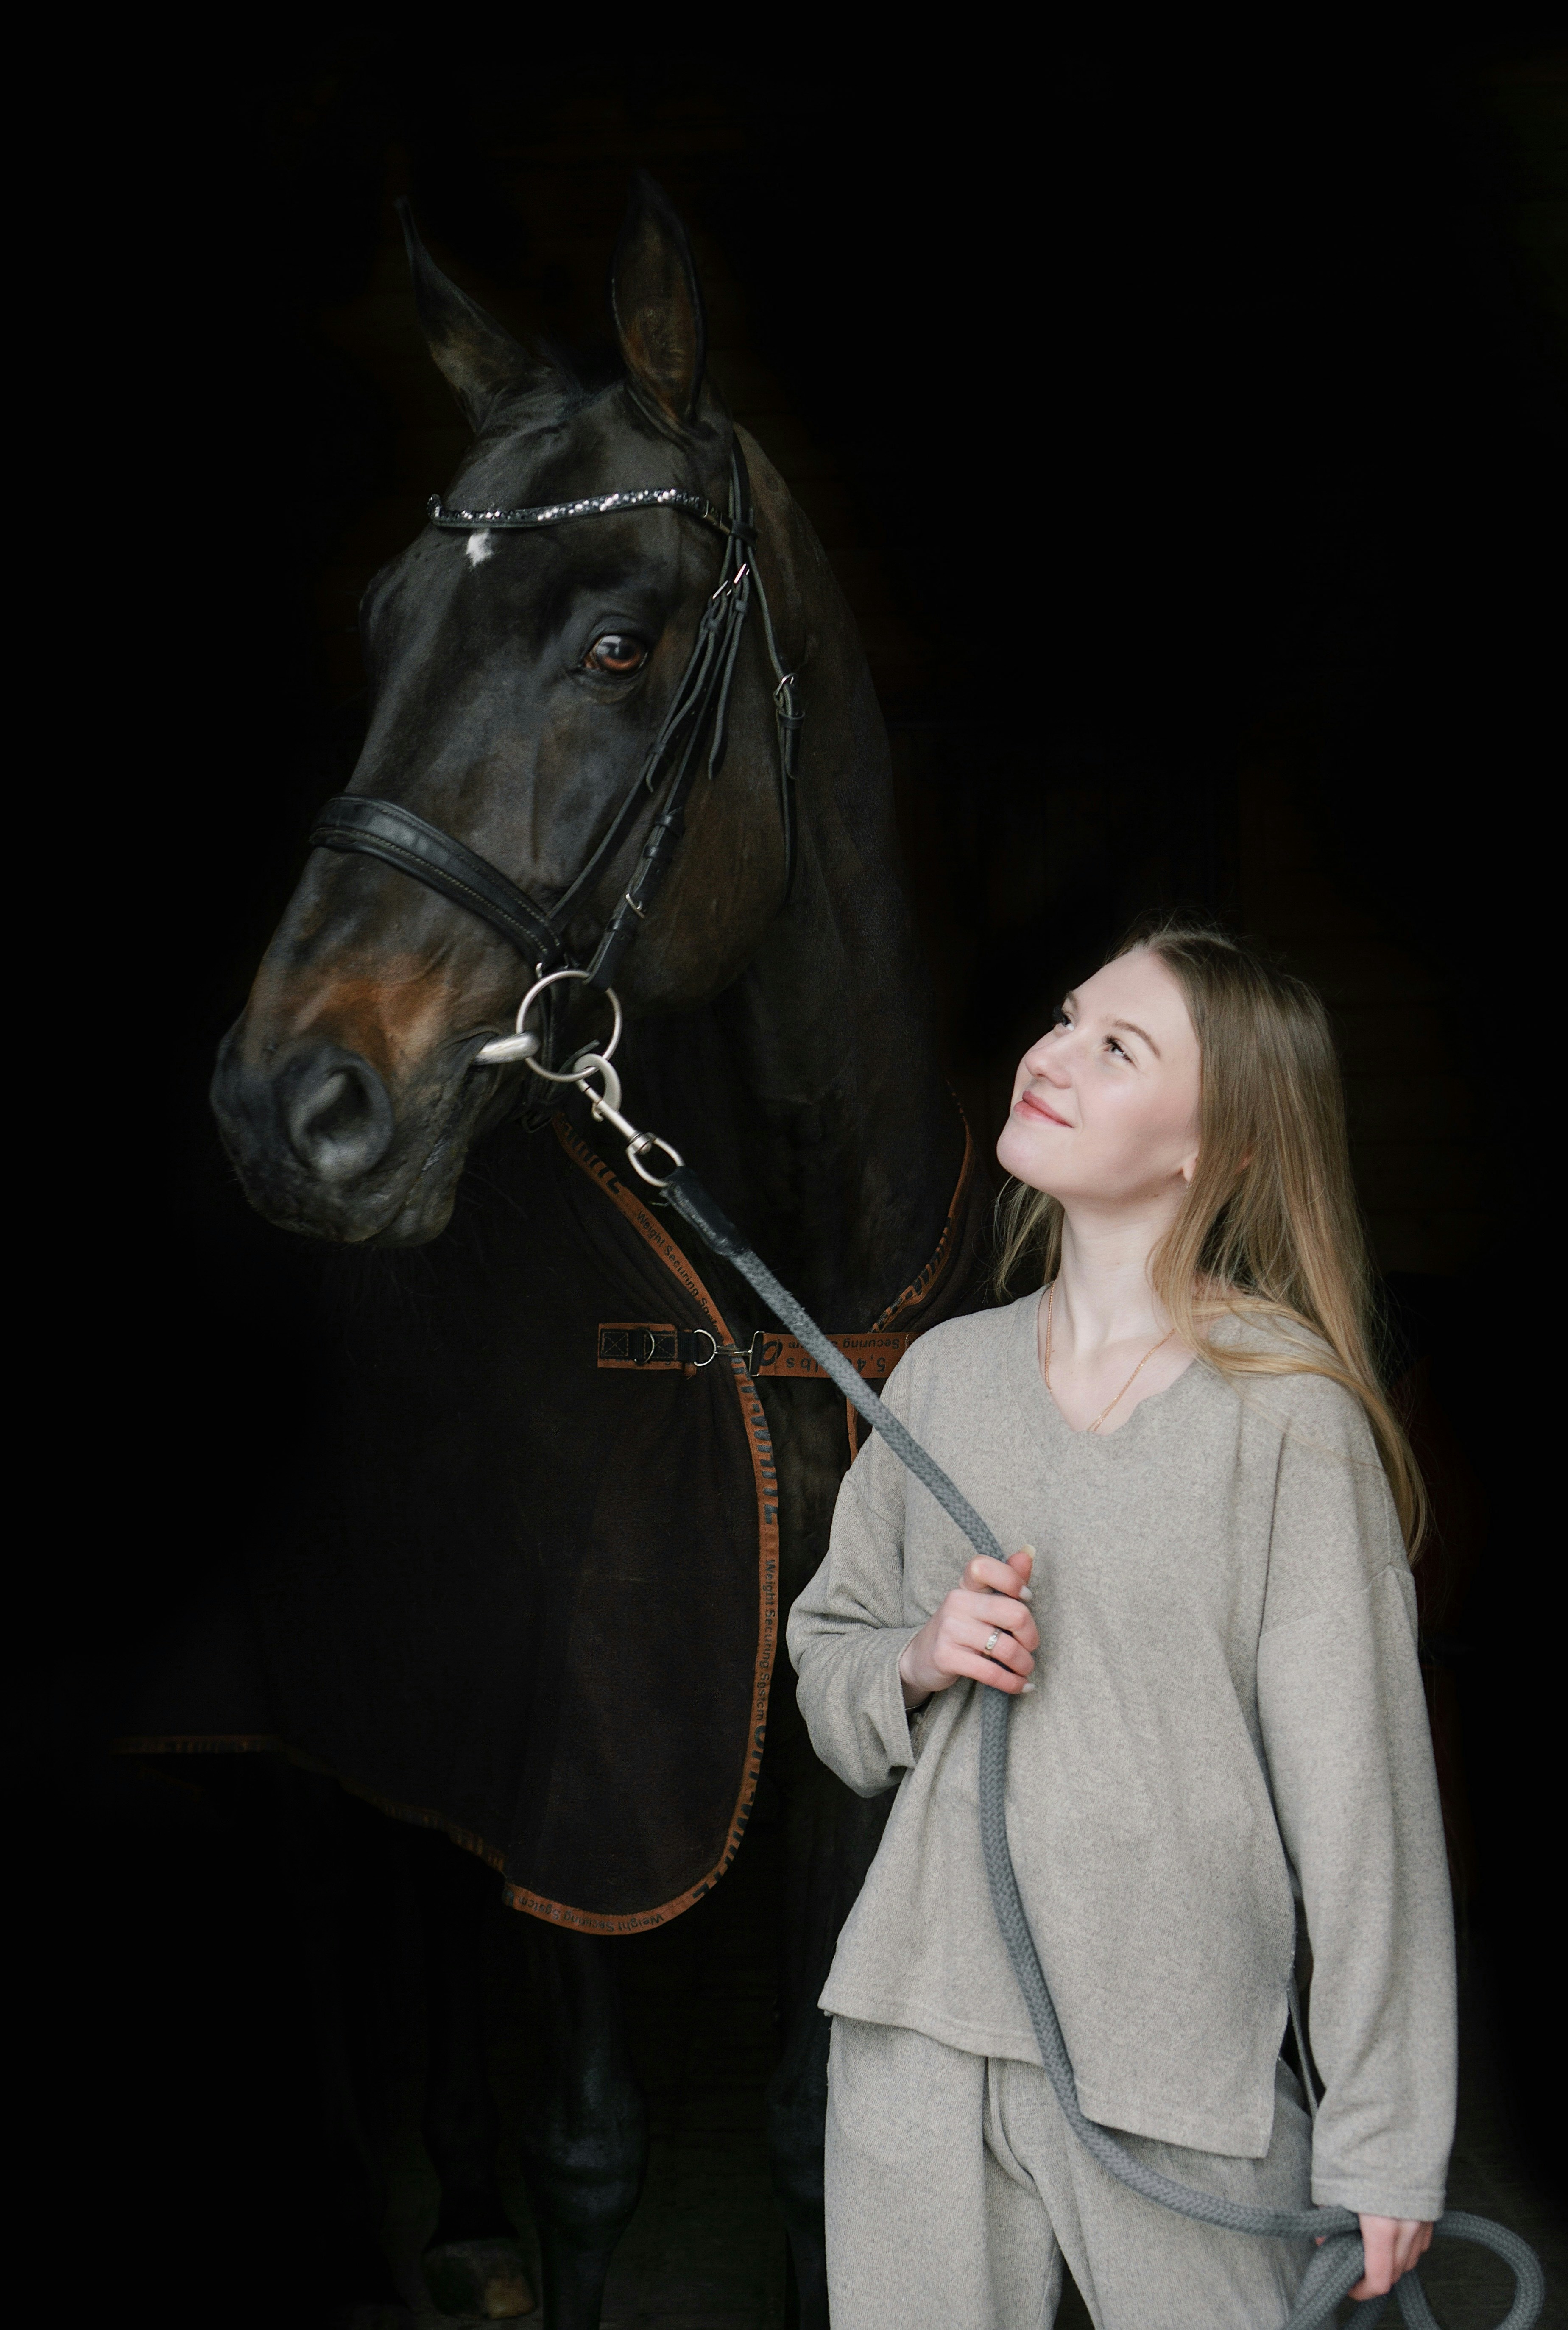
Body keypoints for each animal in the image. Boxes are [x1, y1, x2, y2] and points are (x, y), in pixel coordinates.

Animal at [208, 171, 988, 2326]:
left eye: (622, 643)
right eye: (384, 627)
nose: (291, 1105)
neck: (775, 1278)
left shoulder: (840, 1727)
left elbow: (812, 2127)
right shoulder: (585, 1725)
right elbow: (593, 2142)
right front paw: (518, 2198)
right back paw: (436, 2202)